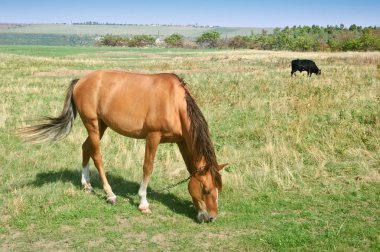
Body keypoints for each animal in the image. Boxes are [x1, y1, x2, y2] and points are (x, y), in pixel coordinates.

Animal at [20, 70, 226, 221]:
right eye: (206, 189)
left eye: (218, 190)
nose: (211, 218)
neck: (174, 103)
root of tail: (81, 80)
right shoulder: (153, 136)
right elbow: (147, 167)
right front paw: (143, 203)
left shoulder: (181, 141)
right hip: (92, 124)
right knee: (96, 155)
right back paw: (110, 194)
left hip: (101, 125)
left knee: (85, 148)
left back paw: (86, 185)